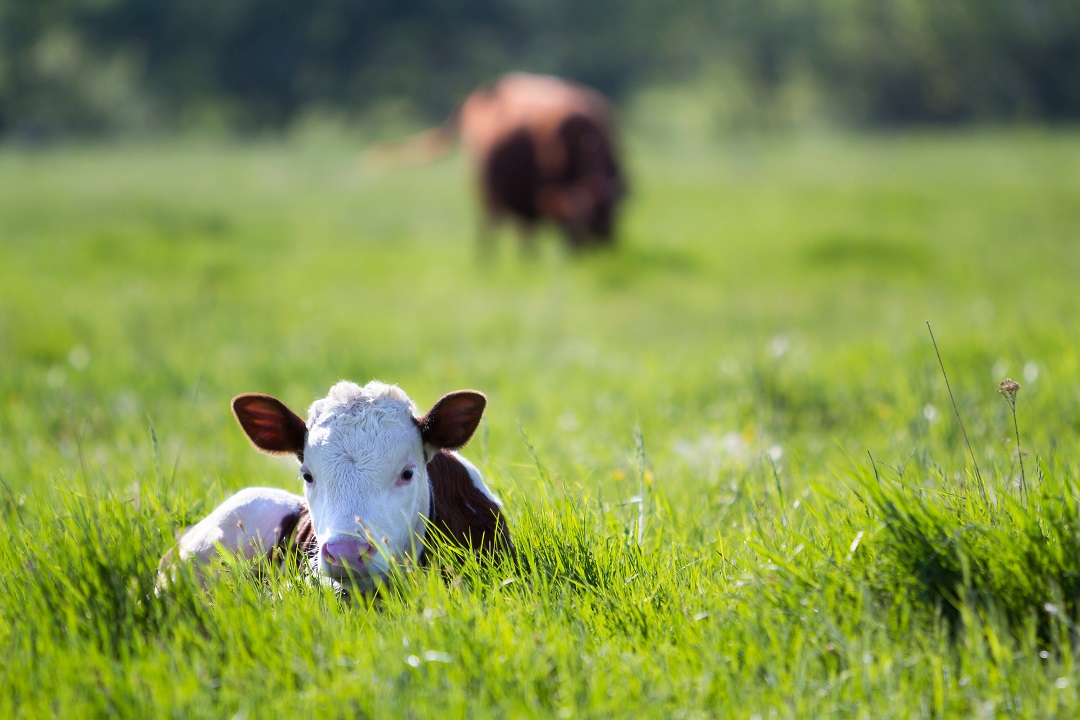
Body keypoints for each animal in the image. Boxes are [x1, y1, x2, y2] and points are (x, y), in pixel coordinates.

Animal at [375, 73, 626, 253]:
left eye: (609, 216)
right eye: (581, 221)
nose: (601, 250)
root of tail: (480, 94)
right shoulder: (531, 195)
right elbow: (526, 229)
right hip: (484, 190)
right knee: (488, 226)